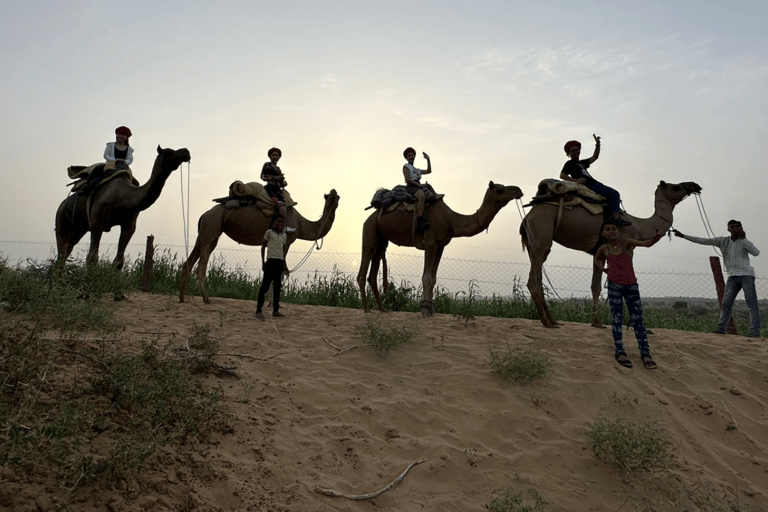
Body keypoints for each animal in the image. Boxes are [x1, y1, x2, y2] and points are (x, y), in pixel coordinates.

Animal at [54, 146, 191, 270]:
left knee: (66, 251)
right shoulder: (96, 222)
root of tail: (61, 205)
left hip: (78, 229)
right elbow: (92, 257)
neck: (123, 196)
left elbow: (119, 260)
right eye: (168, 152)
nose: (186, 151)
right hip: (61, 221)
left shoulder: (129, 225)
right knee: (61, 253)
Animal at [179, 189, 340, 304]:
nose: (333, 191)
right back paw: (206, 299)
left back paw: (182, 298)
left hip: (206, 230)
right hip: (212, 225)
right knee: (201, 265)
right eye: (329, 197)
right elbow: (280, 272)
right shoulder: (286, 241)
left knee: (189, 261)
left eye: (337, 197)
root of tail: (204, 215)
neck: (301, 225)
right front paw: (273, 304)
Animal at [356, 180, 524, 316]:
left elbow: (434, 279)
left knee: (374, 269)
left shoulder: (441, 245)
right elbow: (426, 277)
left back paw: (382, 309)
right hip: (370, 229)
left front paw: (432, 310)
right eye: (500, 189)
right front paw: (424, 311)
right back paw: (366, 310)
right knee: (365, 263)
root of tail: (370, 216)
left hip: (381, 239)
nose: (518, 190)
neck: (452, 220)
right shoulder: (430, 243)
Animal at [520, 180, 704, 328]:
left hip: (532, 243)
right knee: (534, 280)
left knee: (537, 275)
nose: (695, 185)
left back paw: (553, 320)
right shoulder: (627, 247)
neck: (639, 226)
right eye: (676, 186)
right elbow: (627, 283)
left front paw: (597, 323)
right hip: (542, 233)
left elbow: (595, 286)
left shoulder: (597, 252)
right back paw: (547, 322)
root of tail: (529, 215)